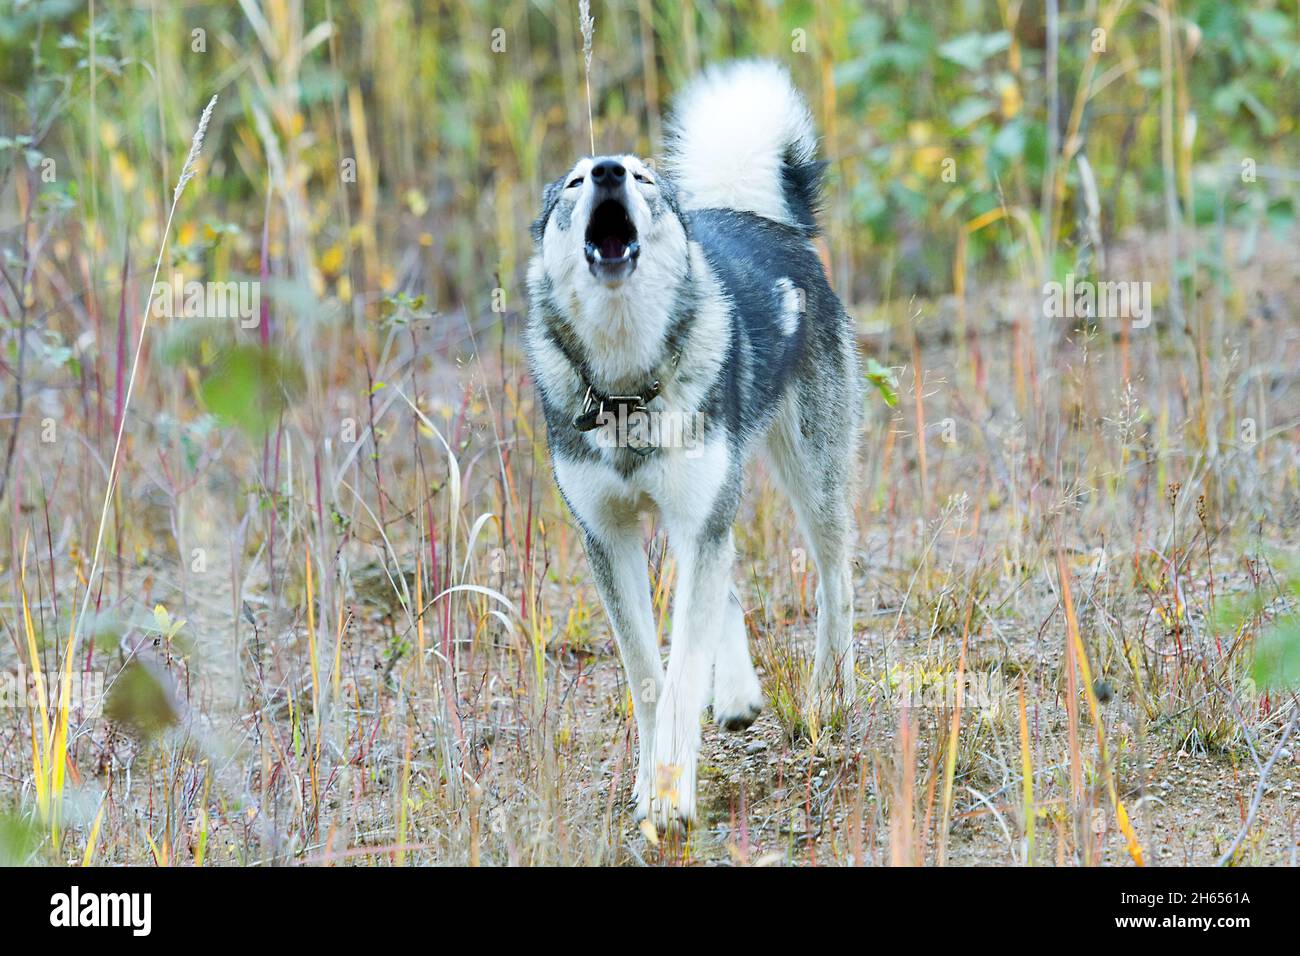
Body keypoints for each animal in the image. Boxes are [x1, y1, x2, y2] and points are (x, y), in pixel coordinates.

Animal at [522, 59, 857, 832]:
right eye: (575, 183)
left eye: (643, 179)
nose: (609, 170)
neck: (625, 390)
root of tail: (762, 218)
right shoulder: (610, 539)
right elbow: (648, 676)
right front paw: (653, 783)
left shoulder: (694, 519)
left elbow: (678, 675)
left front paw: (672, 798)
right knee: (725, 588)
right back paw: (735, 695)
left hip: (810, 487)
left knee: (836, 583)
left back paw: (829, 694)